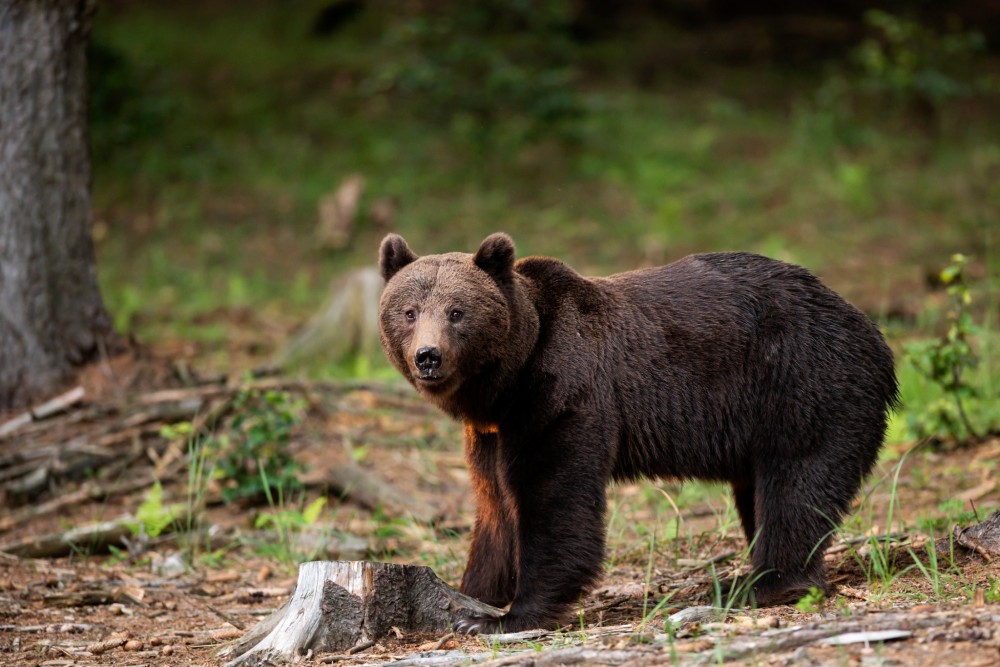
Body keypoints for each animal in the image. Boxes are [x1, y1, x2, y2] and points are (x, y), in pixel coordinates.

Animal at [378, 232, 904, 636]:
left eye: (457, 311)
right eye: (409, 311)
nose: (428, 356)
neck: (505, 384)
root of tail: (872, 332)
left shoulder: (566, 394)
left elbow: (555, 500)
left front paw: (507, 617)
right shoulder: (490, 432)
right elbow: (494, 505)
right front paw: (472, 595)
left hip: (803, 383)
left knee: (796, 485)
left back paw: (763, 583)